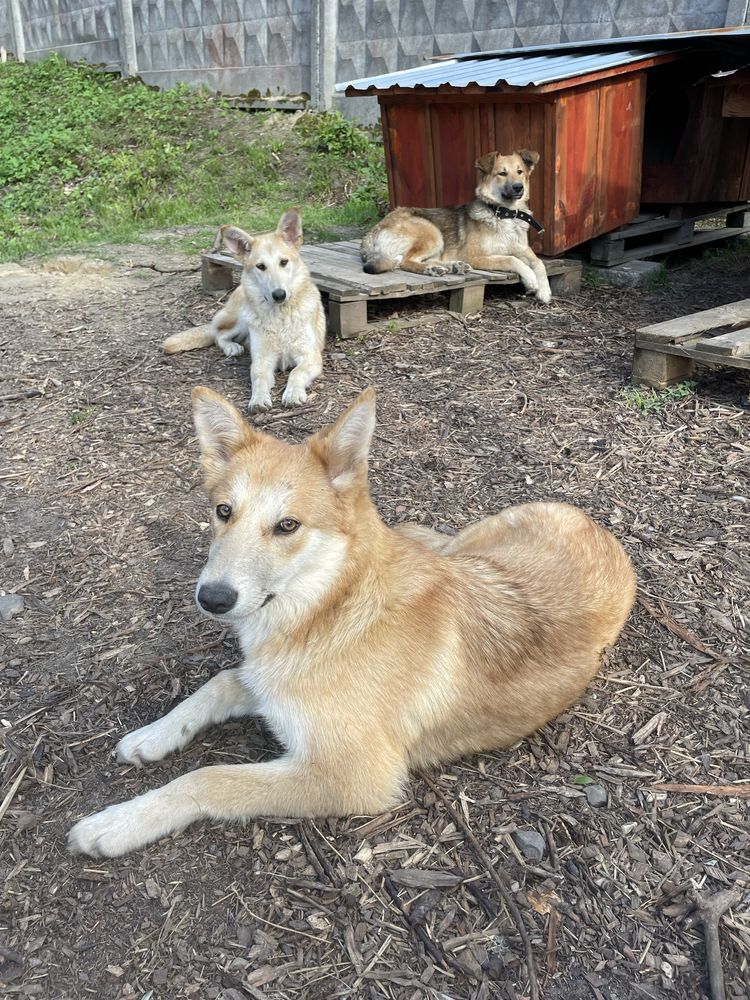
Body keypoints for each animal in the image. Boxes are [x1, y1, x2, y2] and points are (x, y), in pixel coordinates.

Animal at [69, 386, 636, 856]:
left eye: (287, 526)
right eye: (224, 511)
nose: (212, 598)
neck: (330, 610)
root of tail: (595, 523)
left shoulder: (355, 777)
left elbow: (210, 777)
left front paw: (119, 822)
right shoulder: (267, 682)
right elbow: (219, 683)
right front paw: (152, 736)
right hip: (470, 545)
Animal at [362, 150, 556, 302]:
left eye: (520, 171)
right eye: (502, 173)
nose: (518, 187)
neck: (505, 213)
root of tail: (371, 233)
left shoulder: (522, 249)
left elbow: (539, 262)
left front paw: (545, 290)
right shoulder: (474, 255)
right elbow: (510, 259)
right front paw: (530, 279)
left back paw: (452, 266)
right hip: (431, 232)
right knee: (406, 262)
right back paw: (432, 269)